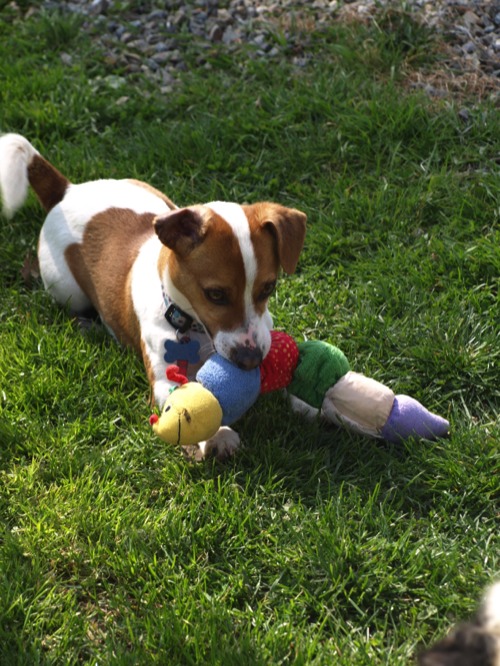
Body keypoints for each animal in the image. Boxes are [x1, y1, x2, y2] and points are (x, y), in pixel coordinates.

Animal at [0, 133, 306, 459]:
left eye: (268, 288)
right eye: (215, 294)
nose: (250, 361)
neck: (191, 326)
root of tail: (68, 190)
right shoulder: (163, 379)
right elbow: (192, 400)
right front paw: (218, 434)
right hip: (65, 287)